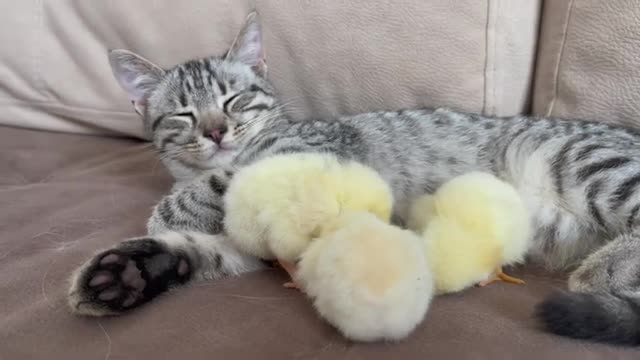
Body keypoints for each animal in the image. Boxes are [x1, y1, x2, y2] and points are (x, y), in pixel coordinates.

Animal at [69, 12, 640, 346]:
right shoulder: (255, 246)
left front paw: (172, 206)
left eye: (234, 101)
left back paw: (604, 269)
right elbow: (203, 249)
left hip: (581, 158)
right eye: (184, 114)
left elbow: (224, 181)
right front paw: (128, 273)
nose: (215, 131)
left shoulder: (316, 153)